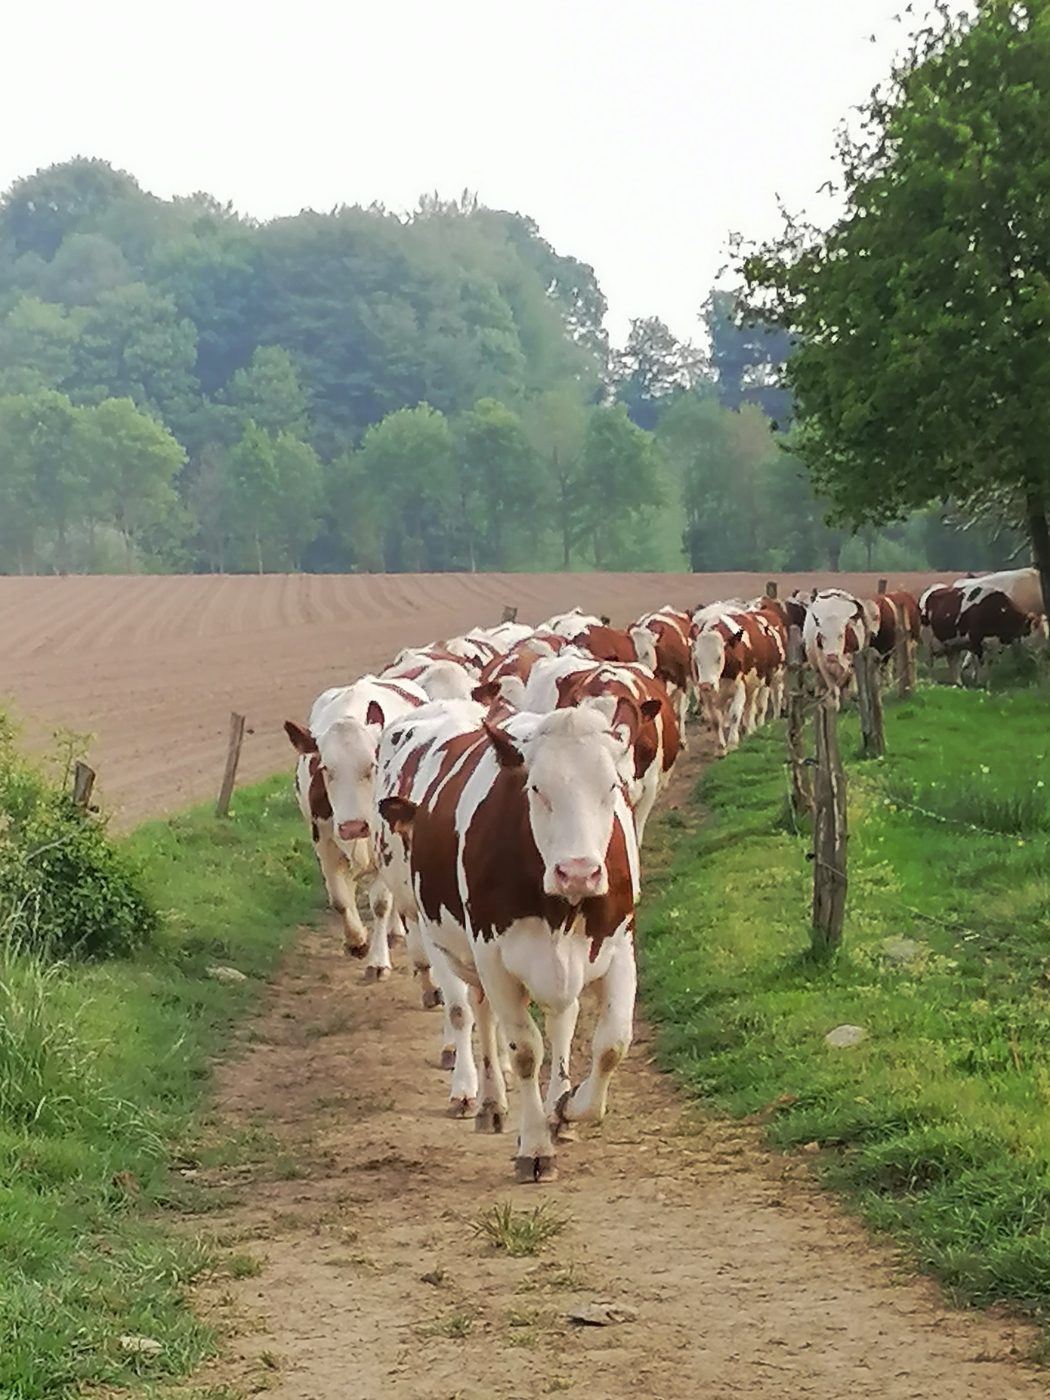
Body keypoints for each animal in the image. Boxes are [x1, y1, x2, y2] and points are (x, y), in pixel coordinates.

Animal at [284, 676, 427, 979]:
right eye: (325, 768)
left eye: (372, 765)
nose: (353, 827)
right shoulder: (324, 843)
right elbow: (339, 899)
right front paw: (357, 941)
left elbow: (381, 903)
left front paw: (378, 960)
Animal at [378, 706, 641, 1183]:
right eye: (535, 788)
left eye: (612, 786)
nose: (579, 872)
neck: (560, 908)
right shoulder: (494, 960)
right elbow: (524, 1052)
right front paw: (534, 1147)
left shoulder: (619, 950)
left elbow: (612, 1045)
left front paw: (567, 1108)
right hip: (461, 954)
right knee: (476, 1015)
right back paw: (487, 1101)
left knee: (561, 1020)